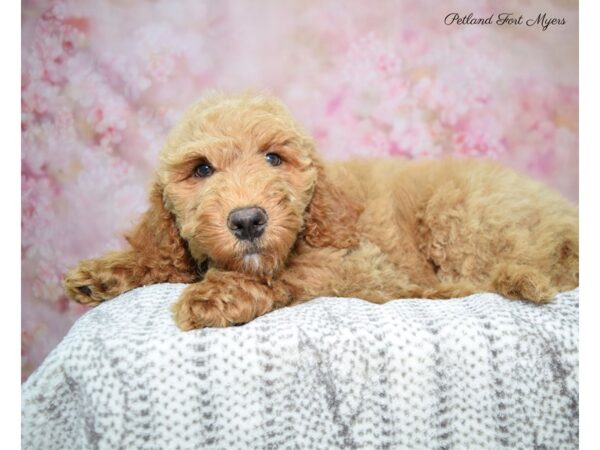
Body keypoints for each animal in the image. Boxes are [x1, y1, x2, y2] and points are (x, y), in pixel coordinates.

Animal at [63, 92, 580, 330]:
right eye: (202, 169)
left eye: (274, 158)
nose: (248, 221)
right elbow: (161, 255)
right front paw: (107, 270)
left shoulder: (362, 262)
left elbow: (289, 272)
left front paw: (218, 294)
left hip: (457, 212)